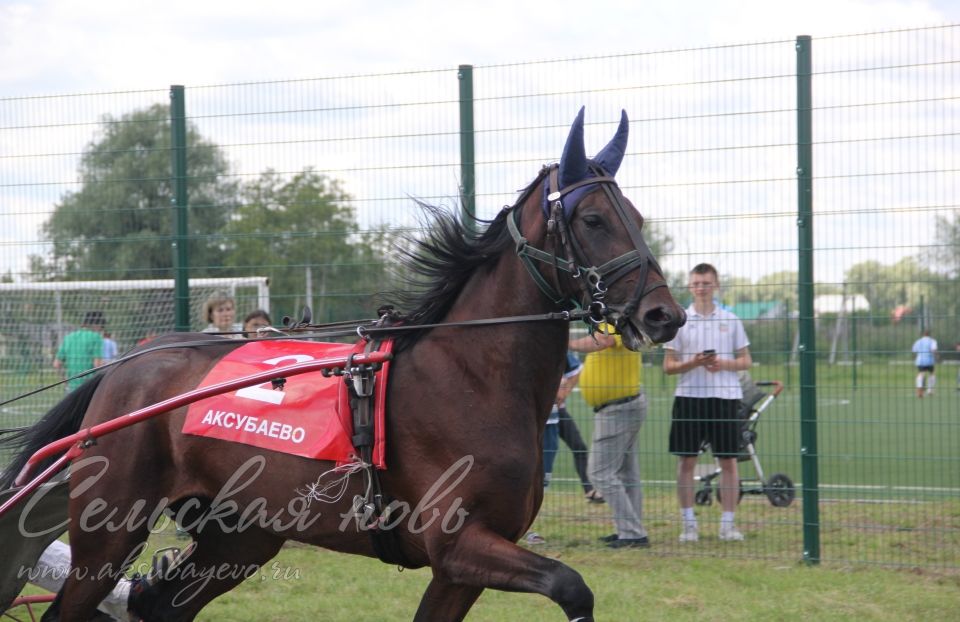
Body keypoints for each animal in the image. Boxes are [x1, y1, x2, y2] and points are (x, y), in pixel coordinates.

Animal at [3, 109, 688, 620]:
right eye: (594, 218)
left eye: (637, 218)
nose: (665, 315)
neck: (472, 377)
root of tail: (126, 365)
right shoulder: (460, 544)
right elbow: (573, 586)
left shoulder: (459, 569)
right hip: (111, 532)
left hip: (243, 533)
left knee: (160, 608)